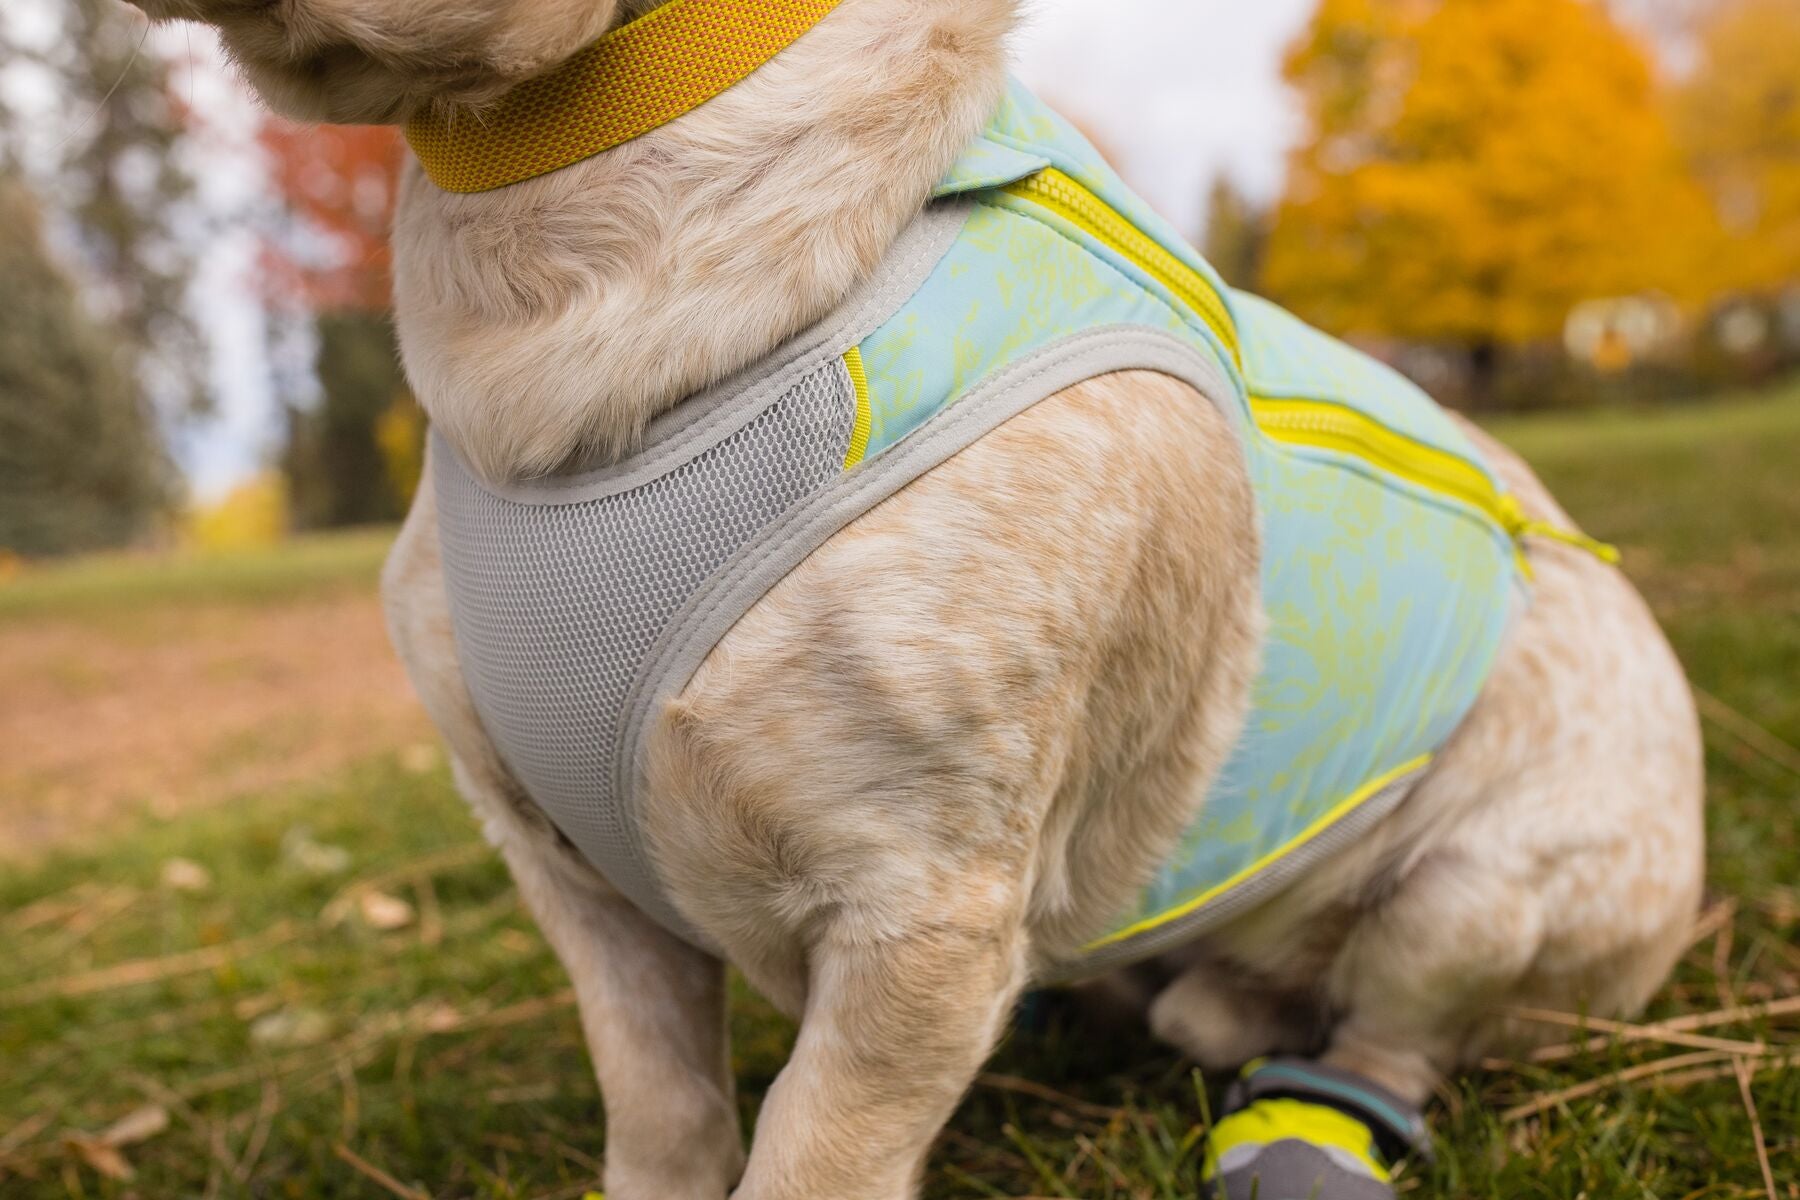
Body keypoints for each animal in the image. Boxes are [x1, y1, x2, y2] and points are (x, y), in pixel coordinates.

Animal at [123, 2, 1699, 1200]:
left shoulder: (915, 912)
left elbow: (811, 1155)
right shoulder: (576, 884)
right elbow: (665, 1118)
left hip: (1478, 895)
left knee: (1387, 1035)